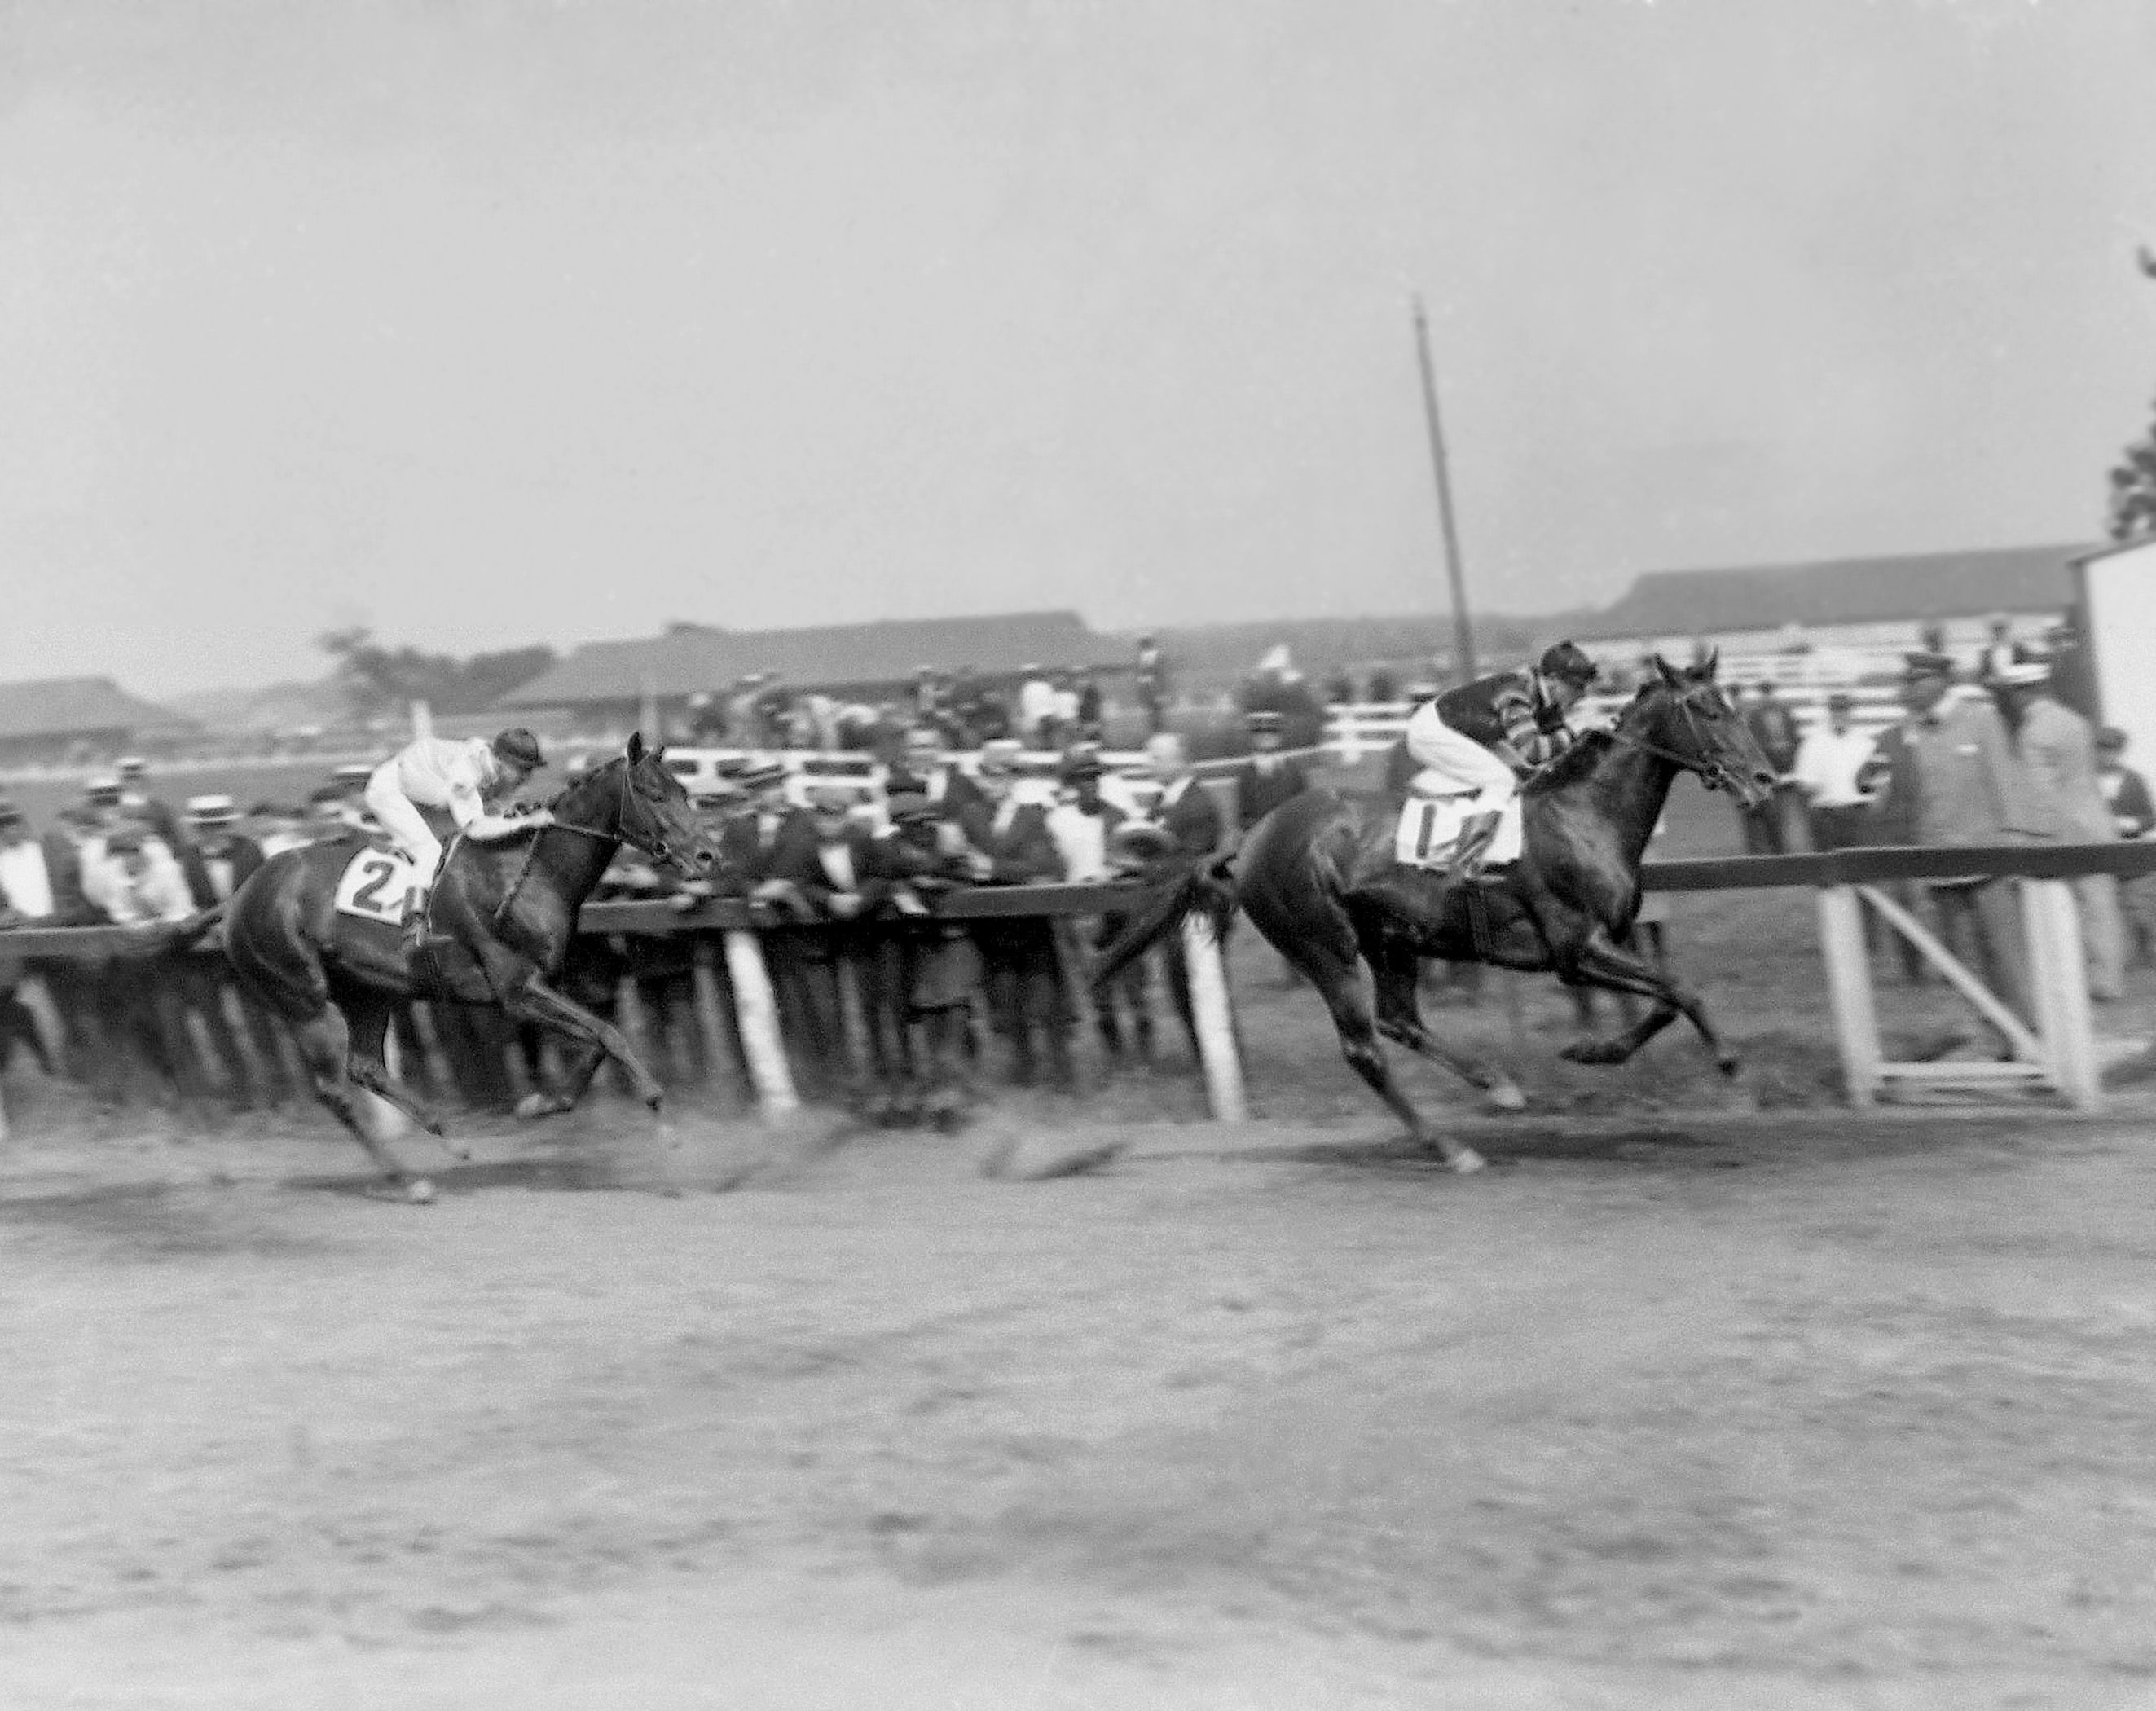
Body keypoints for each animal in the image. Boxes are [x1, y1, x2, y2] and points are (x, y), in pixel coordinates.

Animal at [226, 732, 719, 1198]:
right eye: (653, 794)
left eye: (682, 789)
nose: (707, 855)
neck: (525, 871)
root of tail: (239, 896)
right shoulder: (517, 991)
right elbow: (609, 1034)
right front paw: (665, 1124)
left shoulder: (541, 985)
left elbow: (597, 1041)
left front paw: (539, 1105)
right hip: (301, 998)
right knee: (333, 1092)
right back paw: (409, 1183)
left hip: (369, 991)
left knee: (366, 1068)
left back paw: (449, 1139)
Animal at [1103, 655, 1776, 1172]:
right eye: (1708, 711)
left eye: (1732, 703)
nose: (1766, 779)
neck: (1584, 814)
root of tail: (1249, 839)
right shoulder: (1576, 950)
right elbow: (1682, 990)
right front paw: (1733, 1071)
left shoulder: (1612, 937)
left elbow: (1665, 999)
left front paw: (1592, 1052)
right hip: (1324, 947)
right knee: (1365, 1048)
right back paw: (1450, 1147)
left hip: (1390, 940)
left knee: (1400, 1020)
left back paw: (1495, 1086)